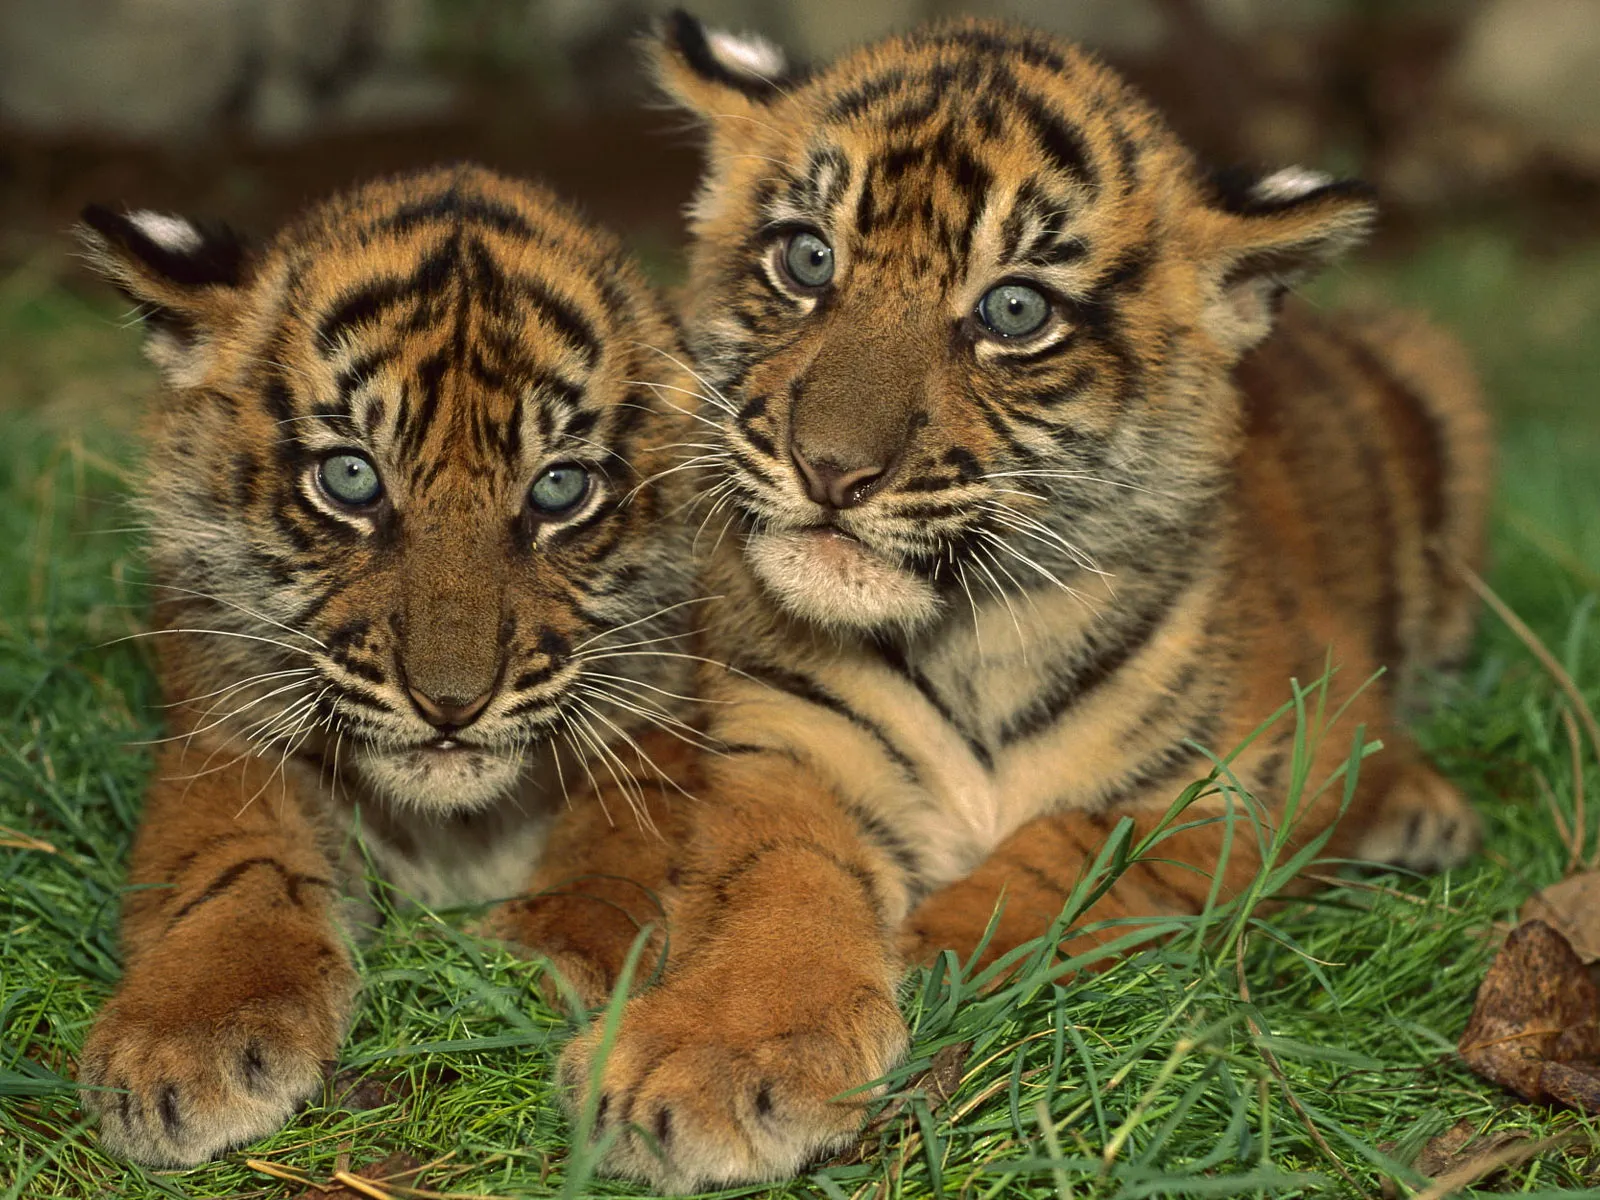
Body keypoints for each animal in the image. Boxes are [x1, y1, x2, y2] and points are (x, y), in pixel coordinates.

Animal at [73, 164, 706, 1166]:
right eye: (351, 478)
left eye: (560, 488)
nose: (451, 705)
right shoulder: (223, 733)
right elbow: (234, 864)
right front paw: (186, 1036)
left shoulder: (668, 723)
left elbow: (617, 850)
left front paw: (533, 964)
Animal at [514, 12, 1494, 1191]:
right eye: (806, 258)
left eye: (1013, 310)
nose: (829, 469)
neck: (971, 634)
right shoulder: (787, 748)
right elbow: (776, 885)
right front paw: (713, 1057)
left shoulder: (1263, 767)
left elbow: (1077, 846)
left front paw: (933, 948)